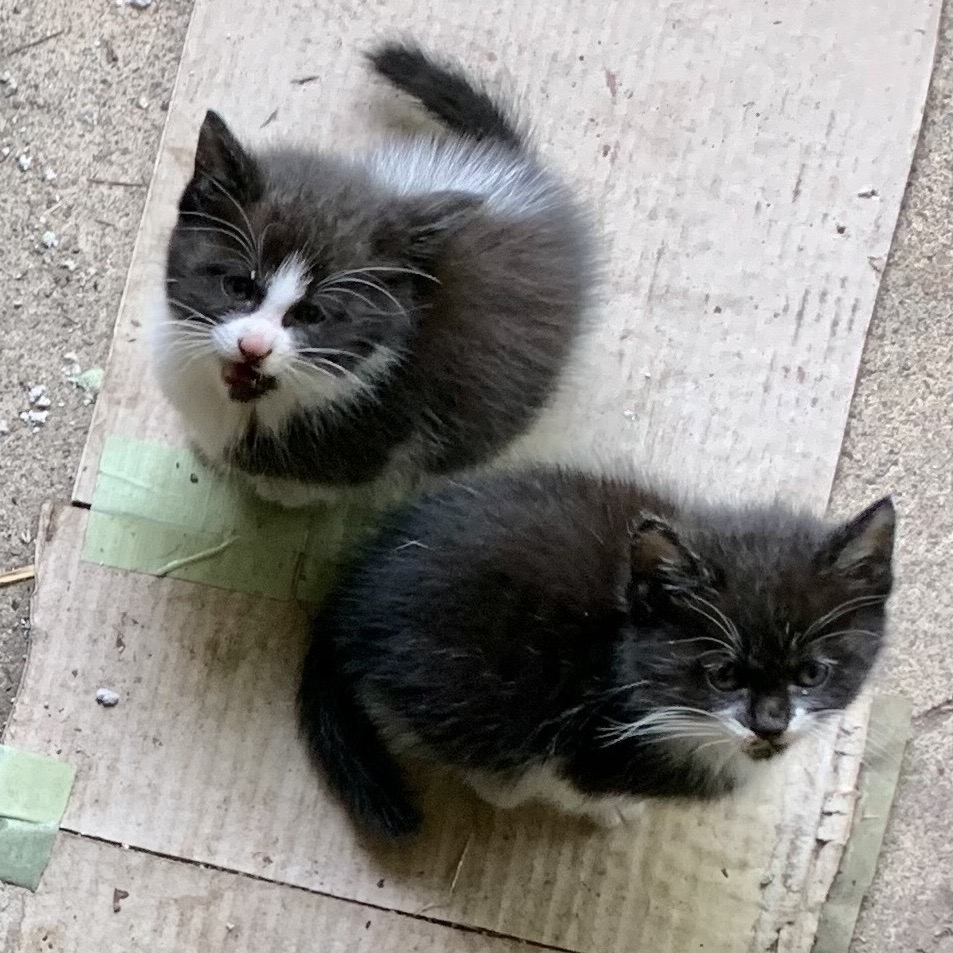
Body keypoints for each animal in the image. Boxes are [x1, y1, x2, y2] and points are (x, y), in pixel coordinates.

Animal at [298, 466, 896, 837]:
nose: (770, 725)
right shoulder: (581, 732)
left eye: (812, 674)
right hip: (470, 683)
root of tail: (354, 588)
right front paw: (613, 809)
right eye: (723, 675)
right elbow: (566, 782)